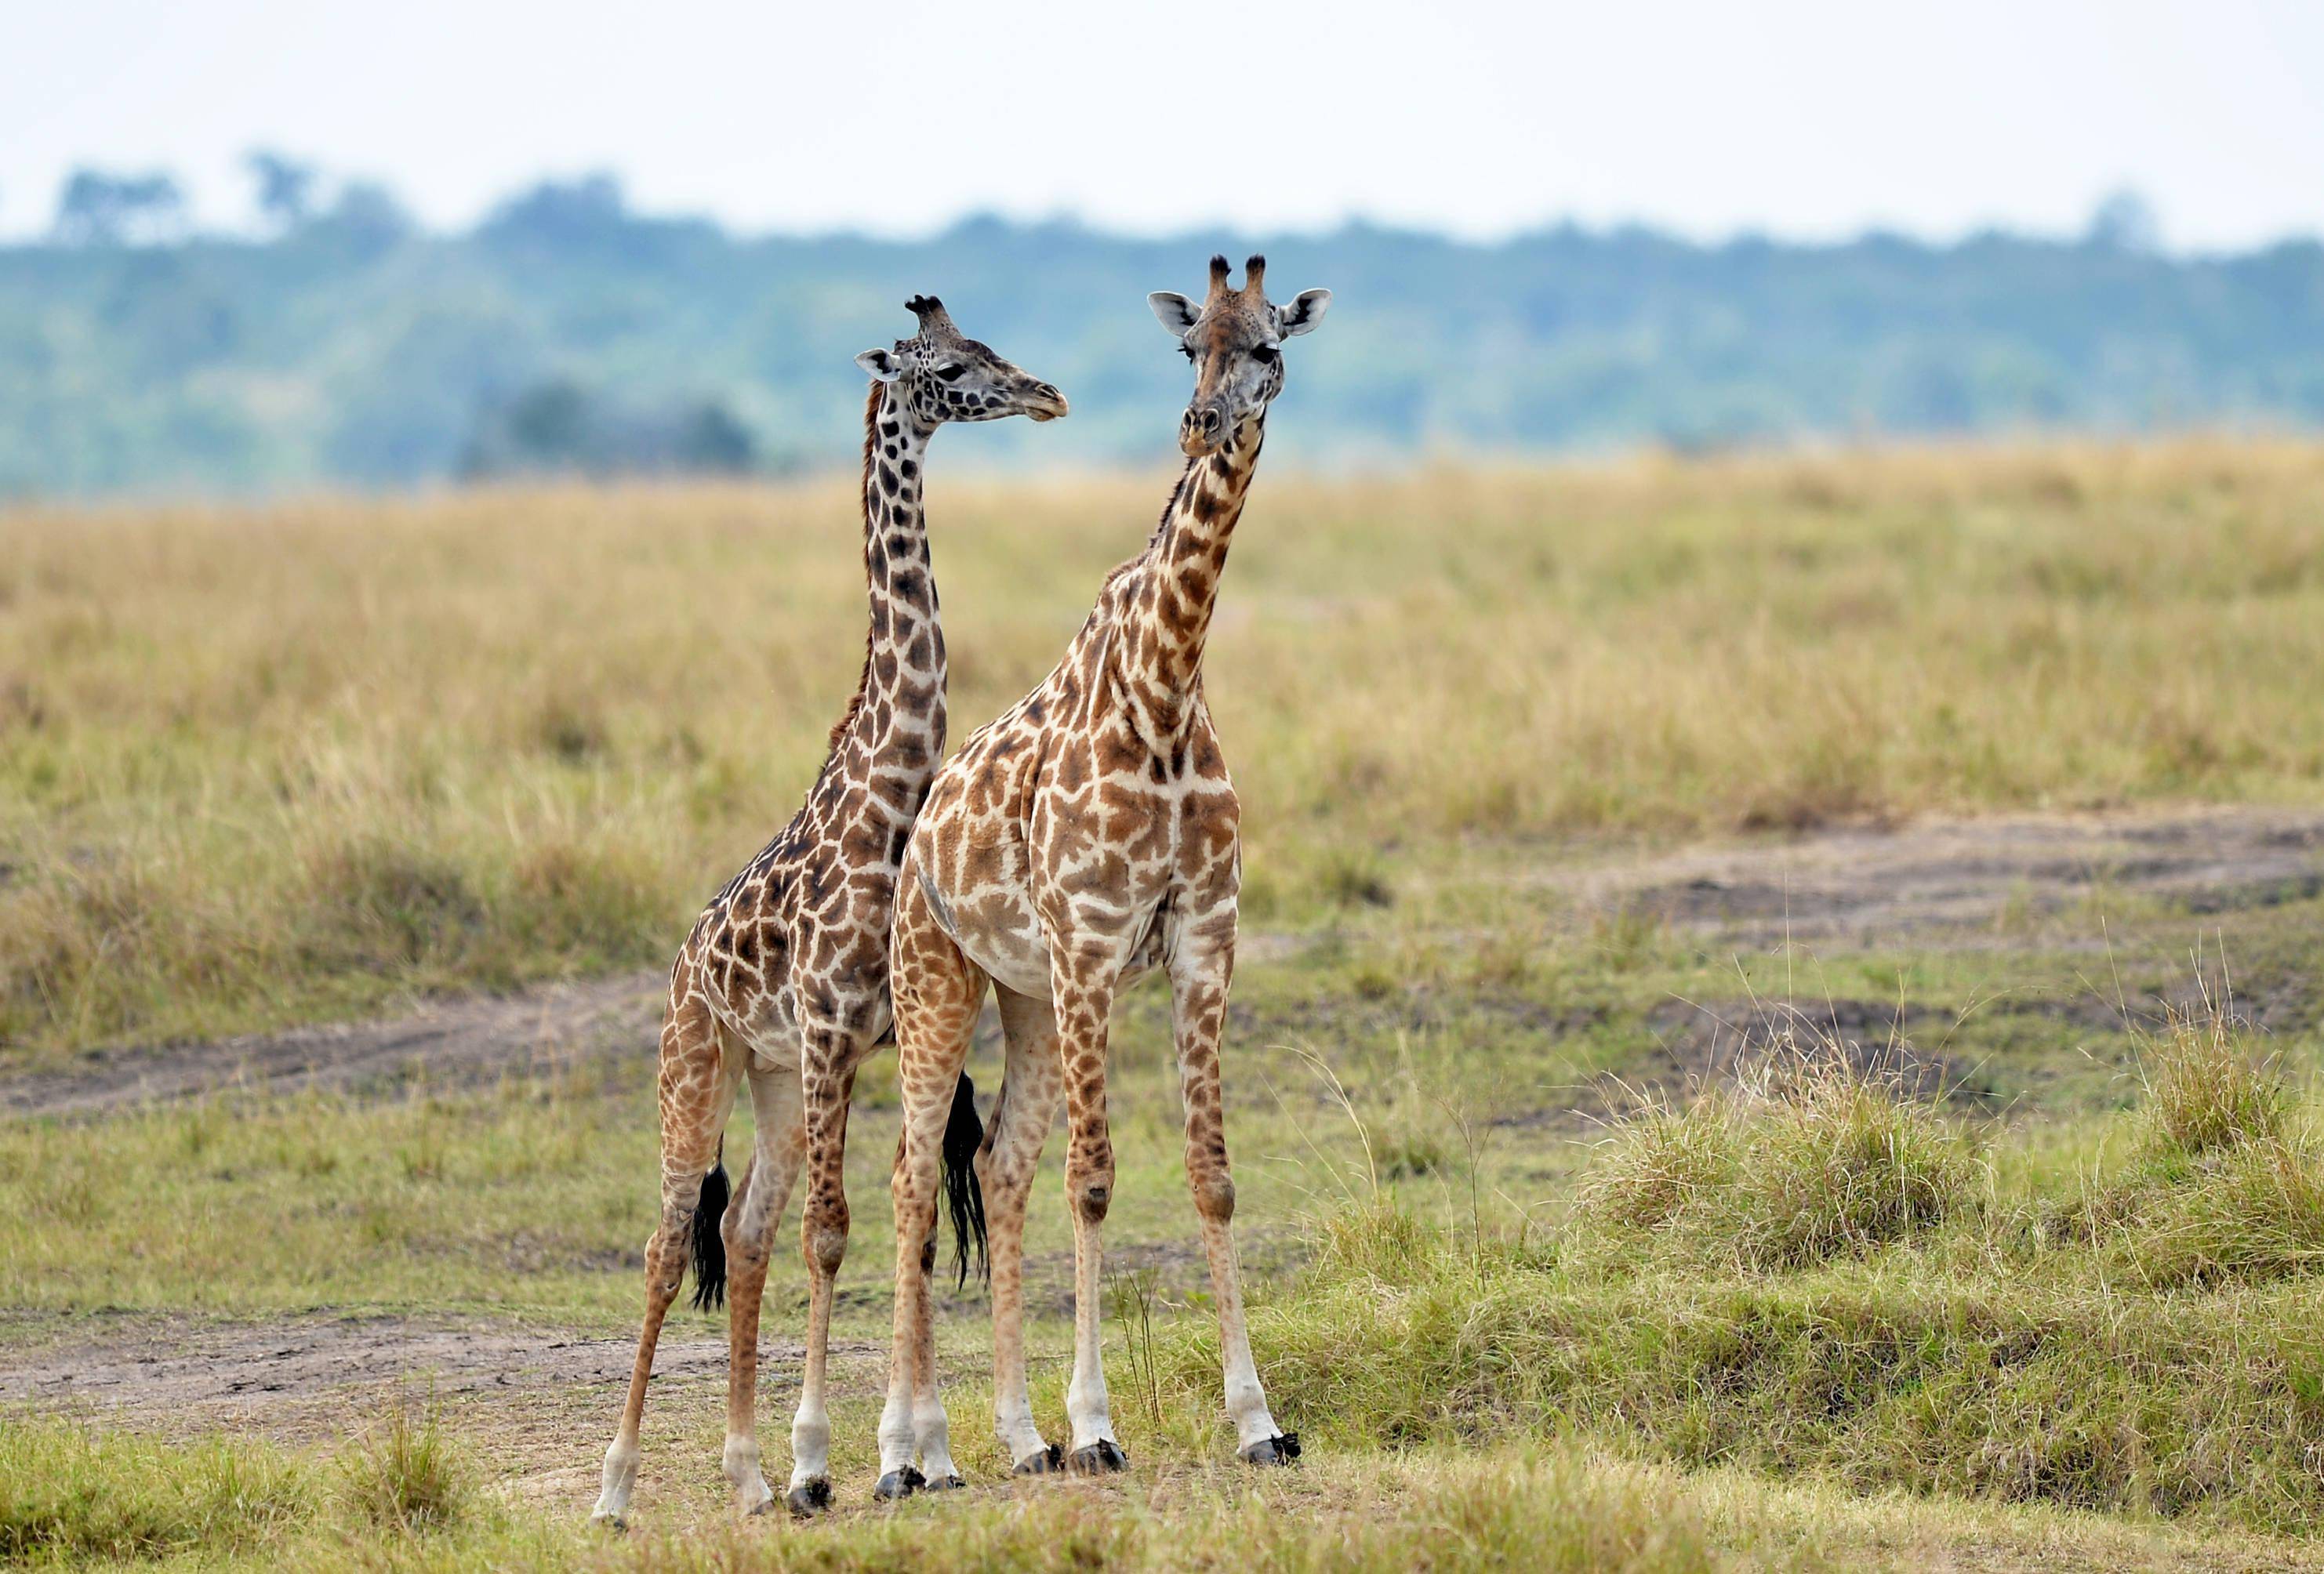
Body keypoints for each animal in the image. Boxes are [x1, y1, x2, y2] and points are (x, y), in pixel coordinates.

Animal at [594, 295, 1073, 1525]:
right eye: (951, 364)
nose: (1045, 393)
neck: (887, 798)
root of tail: (684, 960)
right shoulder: (824, 1031)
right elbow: (834, 1233)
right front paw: (828, 1459)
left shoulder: (878, 1035)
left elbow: (898, 1212)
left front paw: (915, 1453)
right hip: (699, 1063)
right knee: (668, 1241)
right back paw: (621, 1486)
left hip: (768, 1080)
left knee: (742, 1229)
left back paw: (747, 1475)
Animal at [878, 248, 1338, 1488]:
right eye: (1187, 349)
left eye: (1269, 346)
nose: (1199, 424)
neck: (1167, 686)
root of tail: (918, 831)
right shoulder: (1089, 944)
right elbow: (1094, 1182)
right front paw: (1097, 1426)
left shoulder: (1204, 943)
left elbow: (1211, 1175)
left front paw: (1259, 1420)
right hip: (936, 983)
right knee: (912, 1181)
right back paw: (907, 1451)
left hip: (1029, 1001)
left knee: (995, 1171)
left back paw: (1010, 1438)